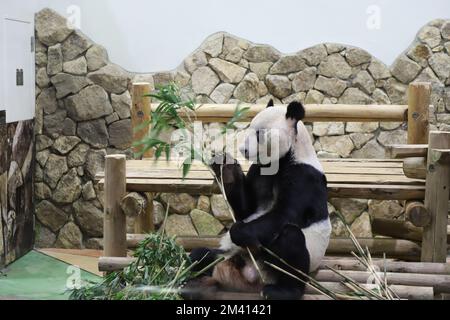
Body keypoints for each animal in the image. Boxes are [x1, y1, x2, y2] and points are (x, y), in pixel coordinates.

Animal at [186, 100, 330, 300]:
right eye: (248, 127)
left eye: (259, 134)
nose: (243, 150)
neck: (288, 156)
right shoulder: (261, 170)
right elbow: (246, 209)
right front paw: (225, 165)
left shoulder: (303, 176)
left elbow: (285, 214)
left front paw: (238, 231)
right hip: (225, 255)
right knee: (200, 255)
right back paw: (192, 282)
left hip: (302, 260)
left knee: (291, 240)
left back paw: (281, 291)